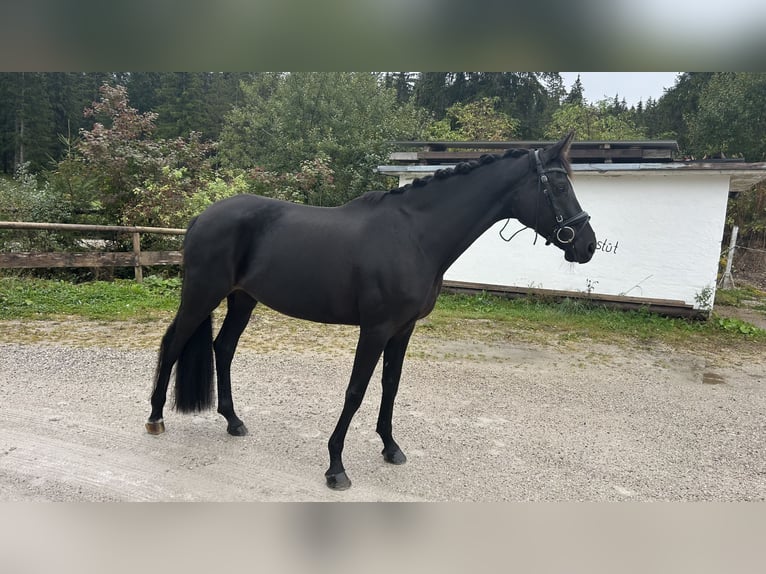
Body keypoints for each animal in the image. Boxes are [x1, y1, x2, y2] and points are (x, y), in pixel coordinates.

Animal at [145, 131, 596, 490]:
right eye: (558, 185)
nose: (587, 245)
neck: (415, 235)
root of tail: (201, 217)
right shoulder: (376, 328)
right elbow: (356, 390)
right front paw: (336, 467)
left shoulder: (403, 329)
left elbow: (390, 386)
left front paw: (391, 447)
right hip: (202, 295)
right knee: (173, 344)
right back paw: (155, 418)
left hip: (243, 298)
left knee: (223, 349)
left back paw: (233, 421)